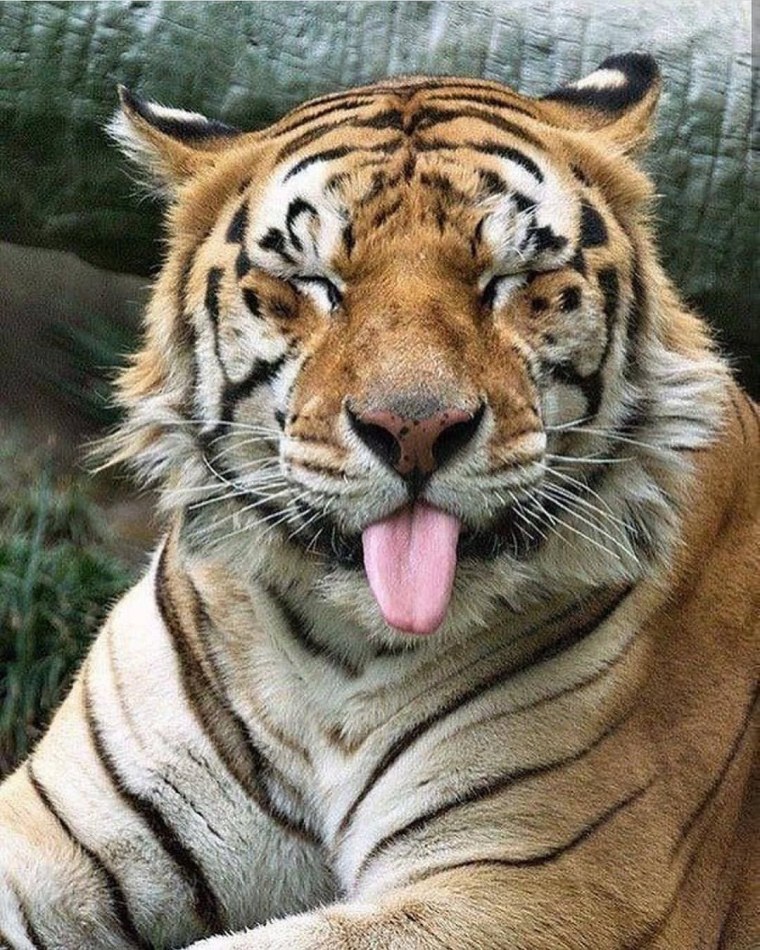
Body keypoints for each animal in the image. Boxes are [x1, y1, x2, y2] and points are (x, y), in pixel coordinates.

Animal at [0, 50, 757, 950]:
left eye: (510, 279)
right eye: (314, 282)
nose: (415, 428)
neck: (335, 655)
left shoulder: (544, 887)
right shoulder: (60, 828)